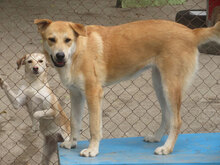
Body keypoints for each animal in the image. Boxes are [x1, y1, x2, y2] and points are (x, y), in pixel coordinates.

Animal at [34, 18, 220, 157]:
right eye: (51, 39)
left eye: (68, 40)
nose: (60, 55)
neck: (78, 52)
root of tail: (191, 32)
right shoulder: (76, 95)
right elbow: (74, 122)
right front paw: (72, 143)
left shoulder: (93, 93)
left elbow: (94, 127)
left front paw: (92, 150)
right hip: (160, 86)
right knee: (167, 117)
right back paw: (156, 138)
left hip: (170, 88)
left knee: (177, 121)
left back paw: (167, 148)